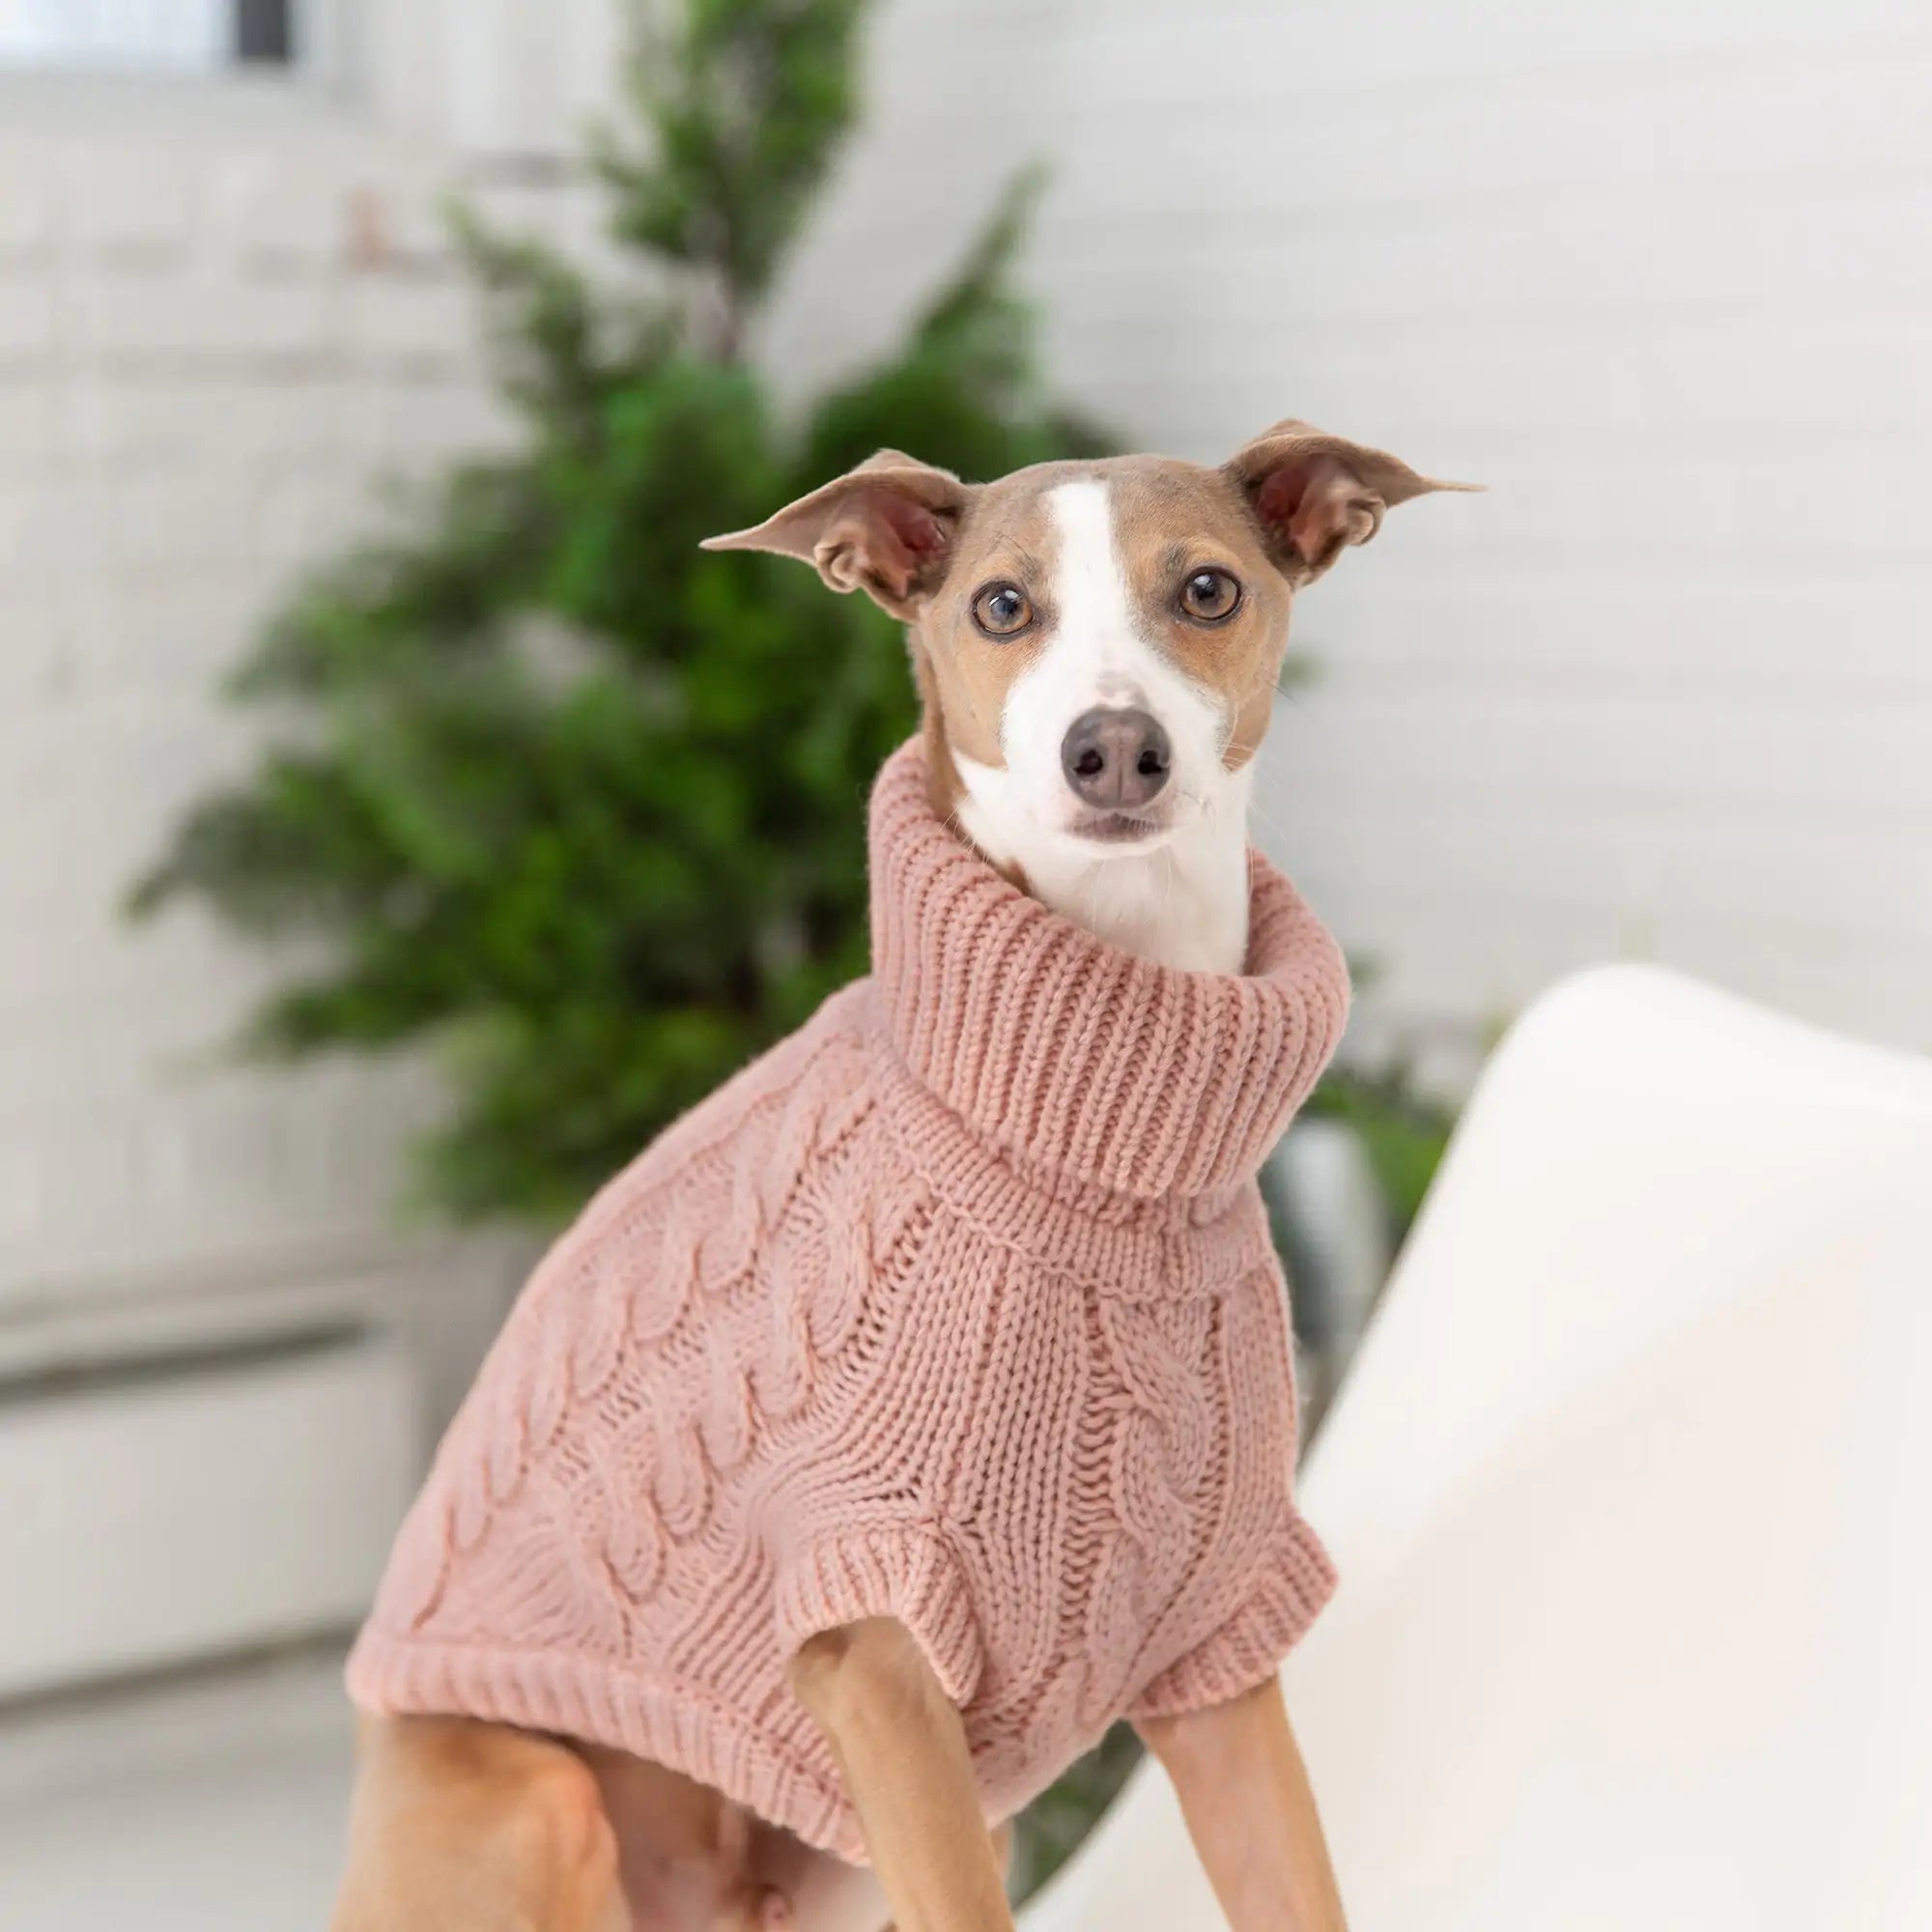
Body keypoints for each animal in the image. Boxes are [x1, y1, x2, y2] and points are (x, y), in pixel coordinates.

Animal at [336, 423, 1461, 1932]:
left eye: (1208, 589)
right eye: (1001, 604)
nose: (1113, 749)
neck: (1095, 1158)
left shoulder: (1215, 1654)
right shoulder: (870, 1646)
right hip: (544, 1800)